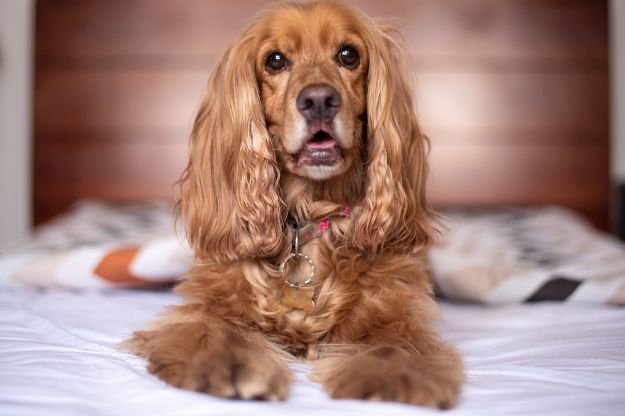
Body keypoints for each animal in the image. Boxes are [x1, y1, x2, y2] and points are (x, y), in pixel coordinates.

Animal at [125, 0, 463, 408]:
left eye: (348, 55)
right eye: (275, 60)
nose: (318, 100)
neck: (311, 215)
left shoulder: (398, 310)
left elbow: (395, 346)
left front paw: (390, 379)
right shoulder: (210, 301)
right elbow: (214, 330)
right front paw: (228, 363)